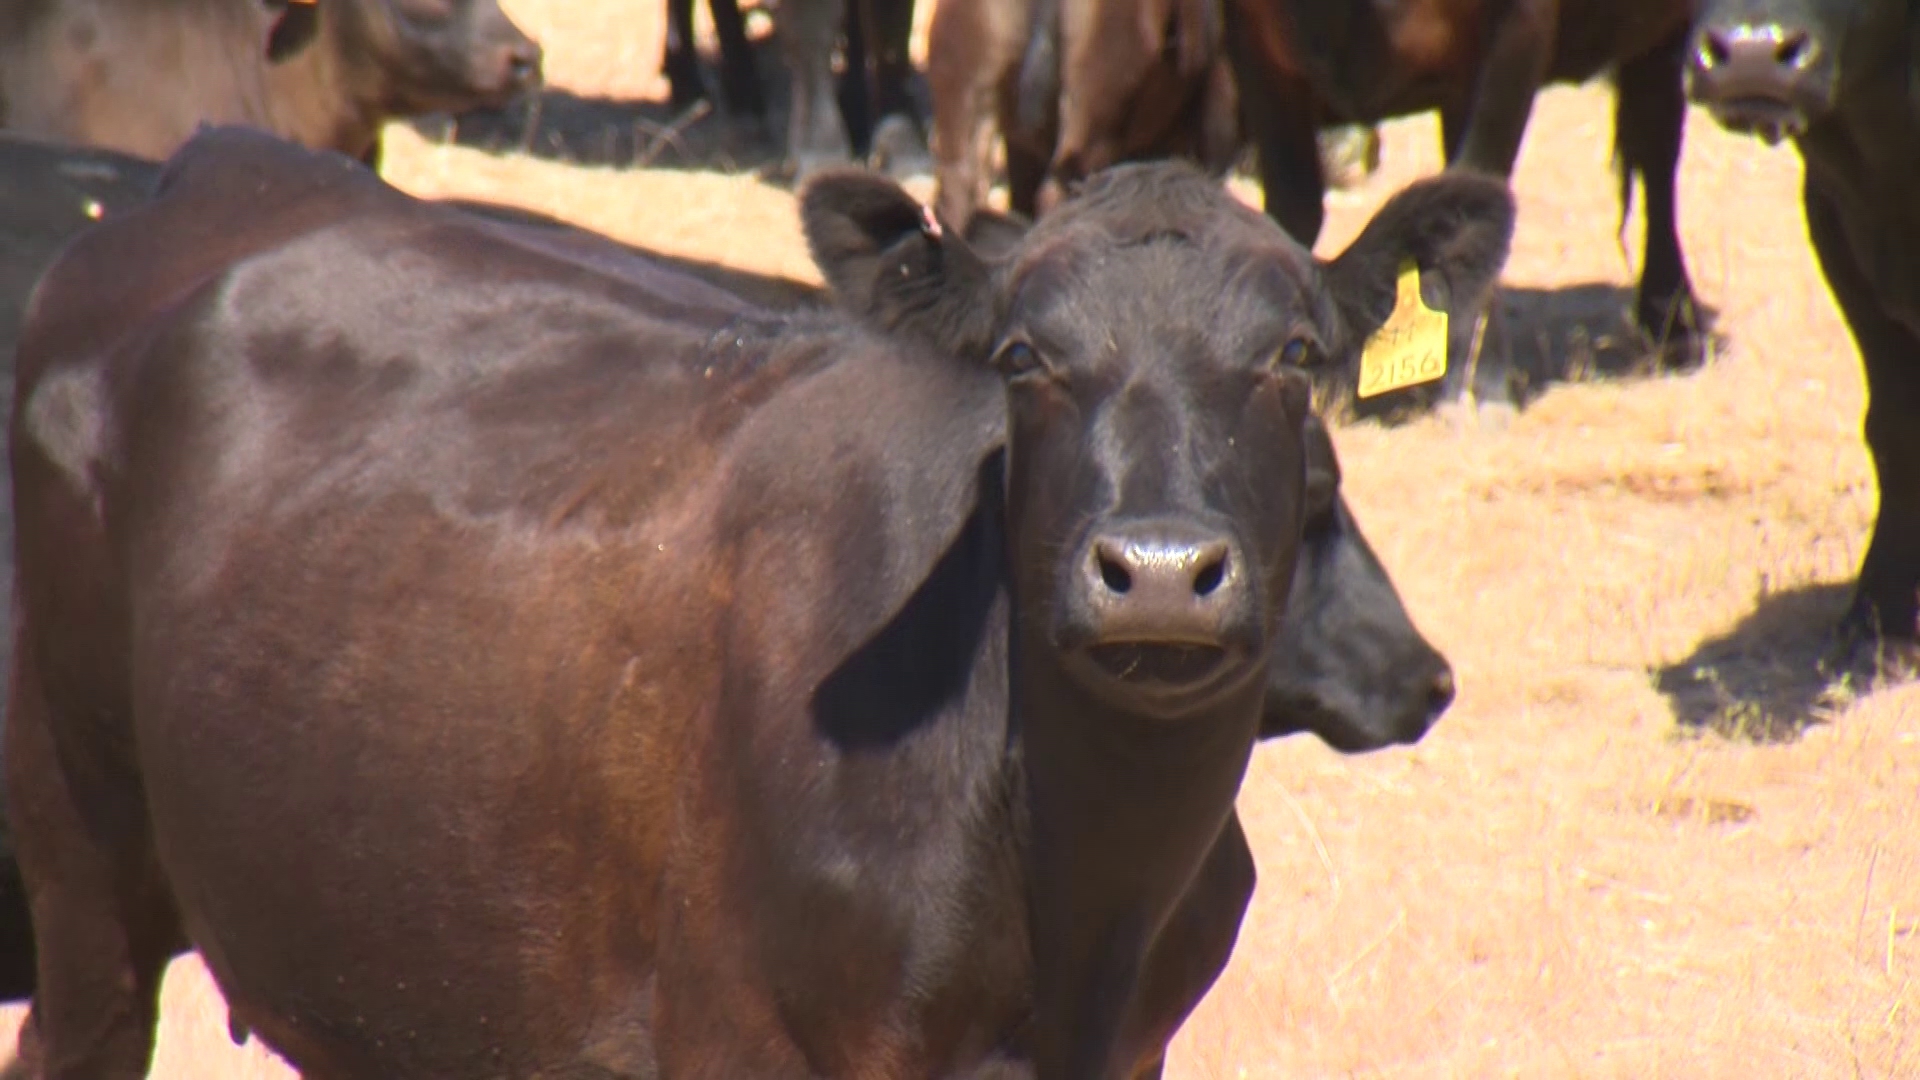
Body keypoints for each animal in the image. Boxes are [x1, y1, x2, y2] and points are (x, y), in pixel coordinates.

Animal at [3, 125, 1512, 1068]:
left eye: (1298, 354)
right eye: (1022, 356)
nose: (1157, 573)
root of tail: (207, 176)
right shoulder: (744, 1034)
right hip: (85, 885)